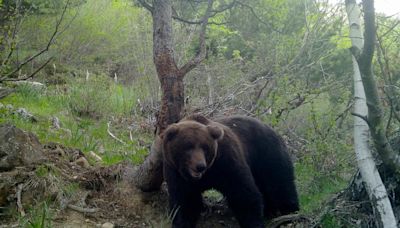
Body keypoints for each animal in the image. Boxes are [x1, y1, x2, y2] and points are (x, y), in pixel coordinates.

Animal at [161, 115, 298, 227]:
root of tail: (271, 128)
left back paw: (289, 212)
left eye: (205, 147)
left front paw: (254, 222)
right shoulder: (176, 172)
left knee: (279, 184)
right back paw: (271, 211)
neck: (205, 176)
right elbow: (184, 202)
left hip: (267, 154)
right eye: (188, 147)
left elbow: (243, 192)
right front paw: (181, 222)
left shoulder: (226, 163)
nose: (200, 166)